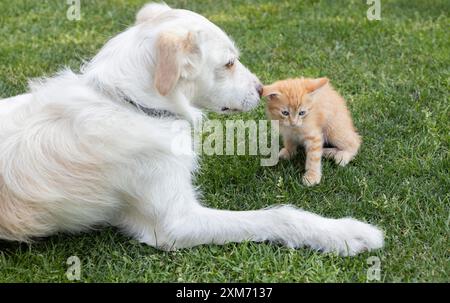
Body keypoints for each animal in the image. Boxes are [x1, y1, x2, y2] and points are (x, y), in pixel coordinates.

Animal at [0, 4, 384, 256]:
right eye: (228, 63)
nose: (262, 89)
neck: (131, 104)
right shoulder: (175, 223)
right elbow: (278, 216)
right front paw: (347, 232)